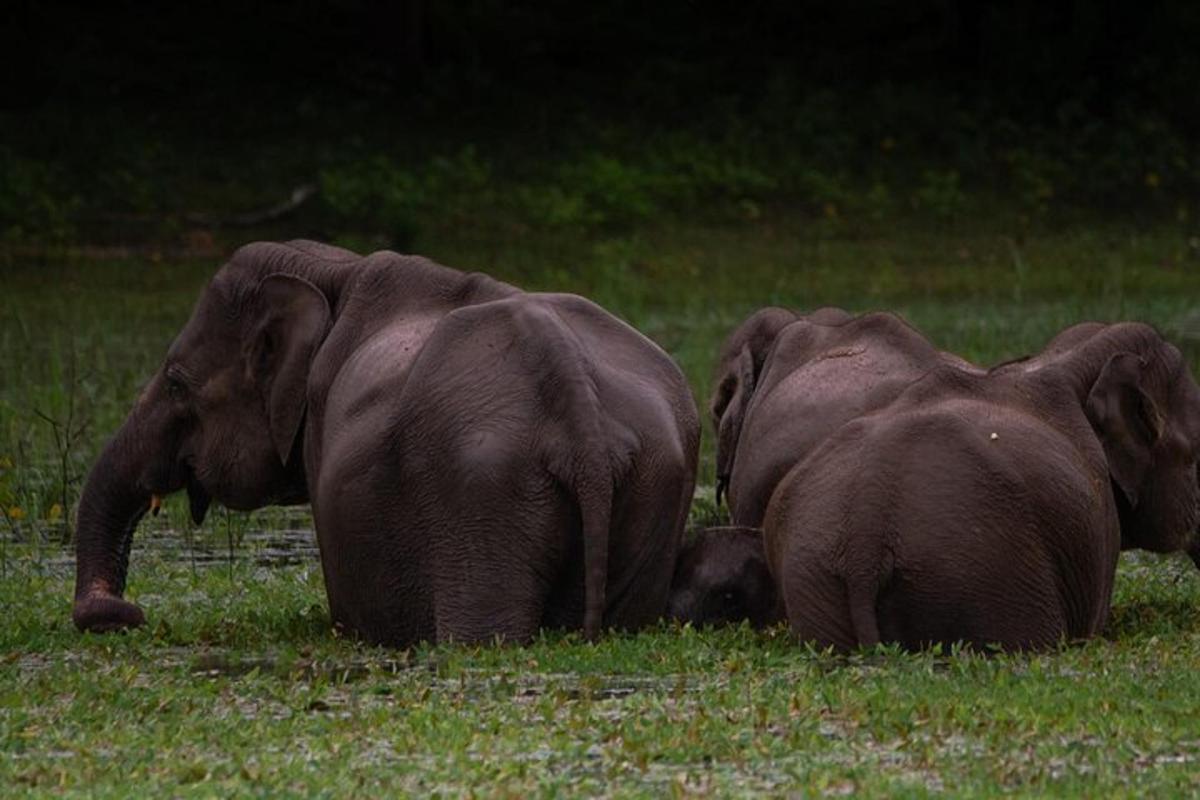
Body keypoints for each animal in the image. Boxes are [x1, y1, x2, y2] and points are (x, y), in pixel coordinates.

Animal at [70, 241, 700, 647]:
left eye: (177, 382)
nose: (126, 615)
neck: (333, 270)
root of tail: (579, 418)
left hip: (481, 493)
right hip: (652, 481)